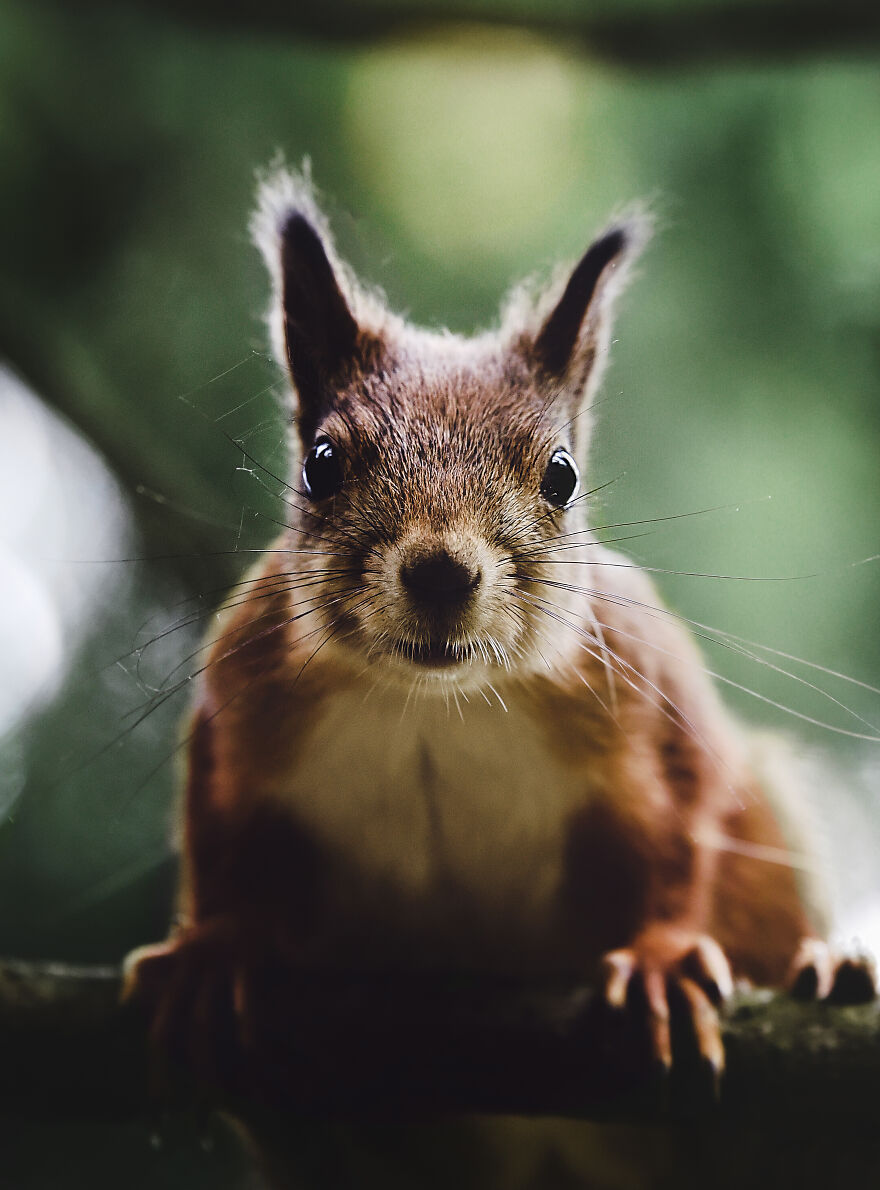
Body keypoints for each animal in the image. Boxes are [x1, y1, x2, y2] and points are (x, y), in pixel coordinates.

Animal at [124, 166, 875, 1098]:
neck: (436, 701)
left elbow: (679, 831)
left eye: (563, 475)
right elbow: (222, 827)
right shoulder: (242, 698)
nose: (442, 573)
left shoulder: (649, 695)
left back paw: (829, 970)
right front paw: (218, 947)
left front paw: (662, 959)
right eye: (322, 464)